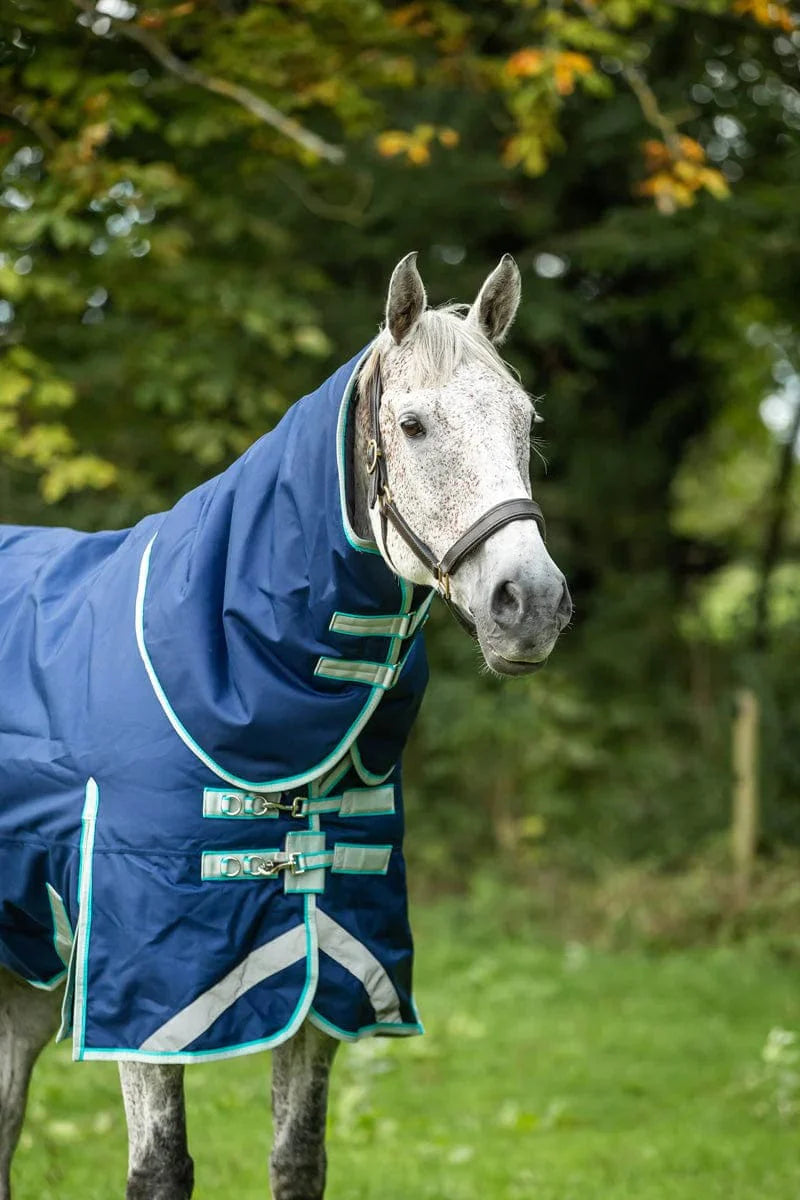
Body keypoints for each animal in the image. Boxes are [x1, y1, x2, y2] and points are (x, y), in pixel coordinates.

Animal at [0, 251, 571, 1199]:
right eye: (412, 425)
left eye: (526, 423)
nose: (530, 605)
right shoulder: (148, 983)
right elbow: (161, 1168)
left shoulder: (328, 973)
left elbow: (299, 1156)